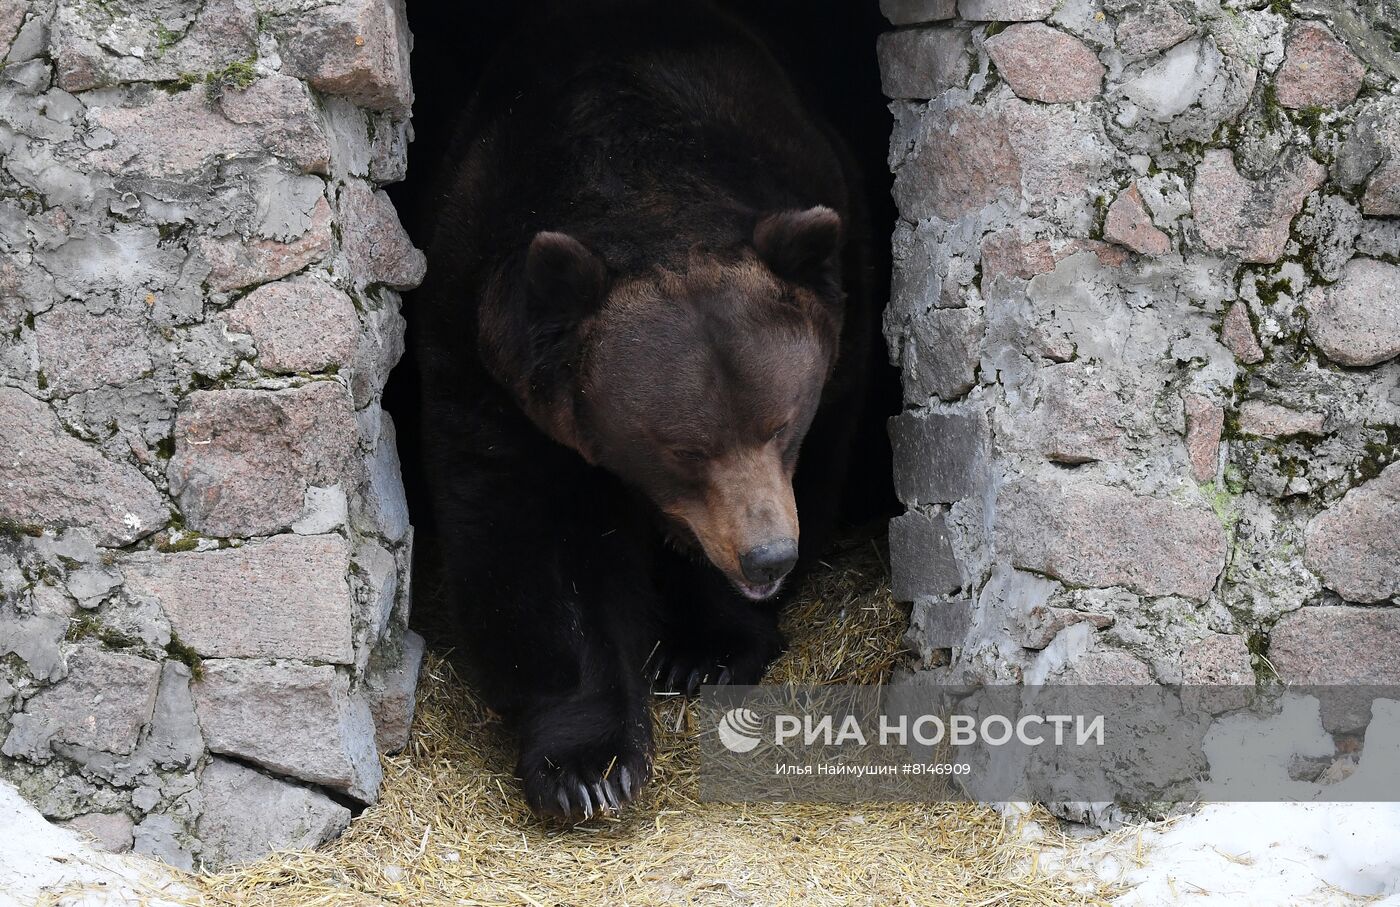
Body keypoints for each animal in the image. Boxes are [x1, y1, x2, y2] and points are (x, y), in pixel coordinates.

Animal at [408, 0, 862, 817]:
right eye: (684, 449)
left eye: (782, 424)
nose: (768, 556)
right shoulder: (482, 350)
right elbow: (536, 539)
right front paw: (589, 768)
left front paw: (707, 650)